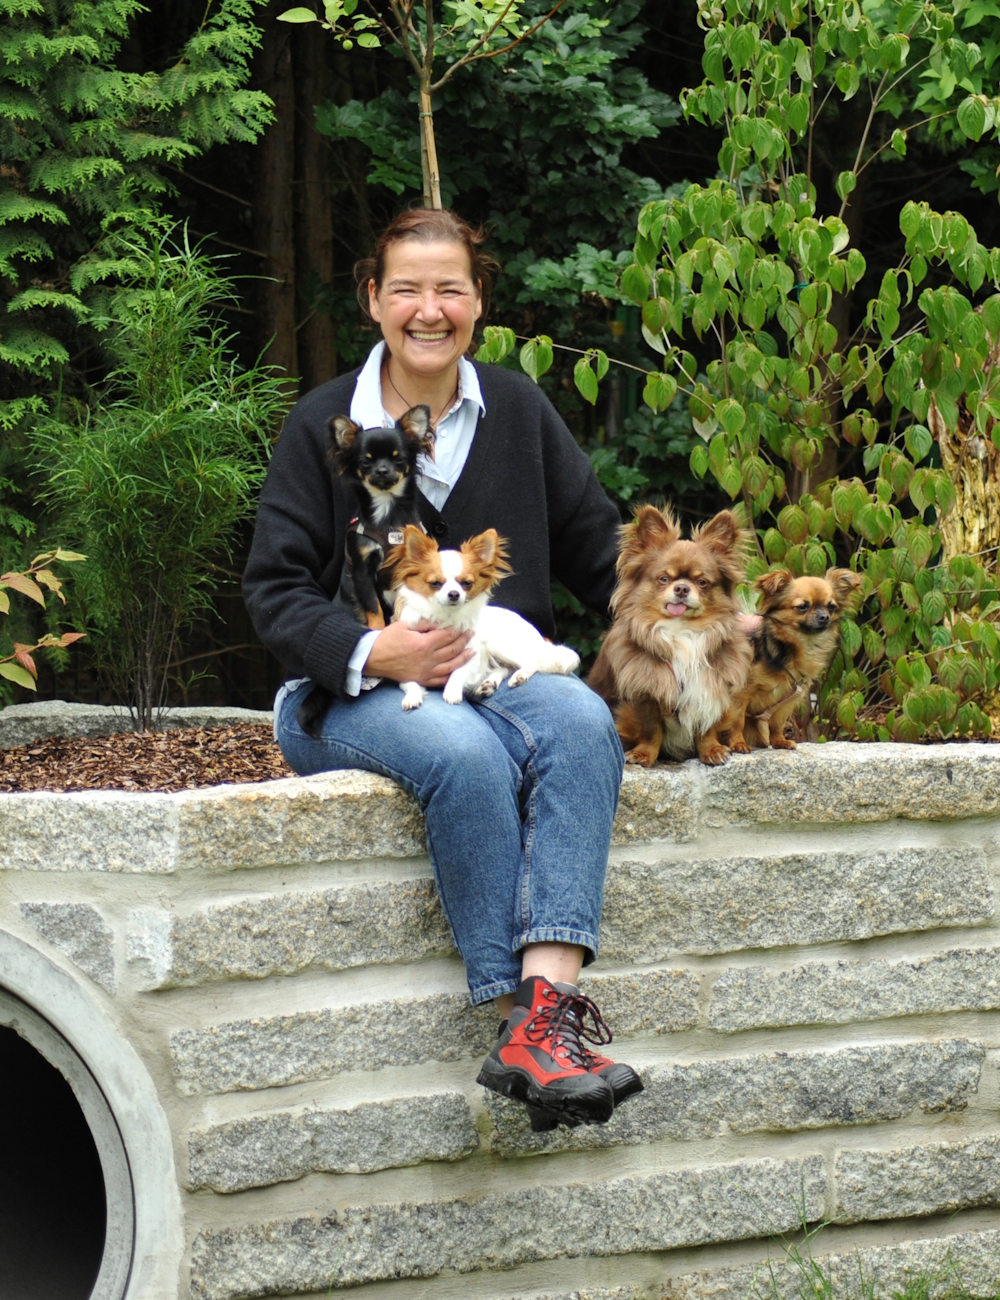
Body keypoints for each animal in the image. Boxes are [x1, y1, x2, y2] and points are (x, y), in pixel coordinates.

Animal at [297, 405, 433, 738]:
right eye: (365, 462)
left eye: (398, 459)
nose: (382, 471)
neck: (386, 518)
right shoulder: (361, 569)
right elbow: (374, 610)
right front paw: (379, 632)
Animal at [389, 525, 580, 711]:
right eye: (435, 583)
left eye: (466, 583)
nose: (454, 594)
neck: (446, 616)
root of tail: (540, 638)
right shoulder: (412, 662)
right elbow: (411, 681)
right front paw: (412, 697)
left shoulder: (471, 655)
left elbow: (458, 672)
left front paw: (452, 691)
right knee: (504, 669)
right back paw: (490, 683)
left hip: (499, 644)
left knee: (532, 662)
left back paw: (520, 676)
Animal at [588, 505, 753, 766]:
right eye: (664, 579)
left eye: (702, 582)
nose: (682, 588)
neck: (681, 630)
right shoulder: (645, 691)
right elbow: (651, 729)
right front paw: (643, 755)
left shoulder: (708, 688)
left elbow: (706, 726)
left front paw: (712, 750)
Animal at [724, 568, 863, 751]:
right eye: (802, 607)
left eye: (831, 607)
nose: (824, 617)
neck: (804, 644)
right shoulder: (740, 694)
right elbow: (737, 721)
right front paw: (738, 743)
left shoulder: (786, 701)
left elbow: (777, 724)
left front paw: (779, 741)